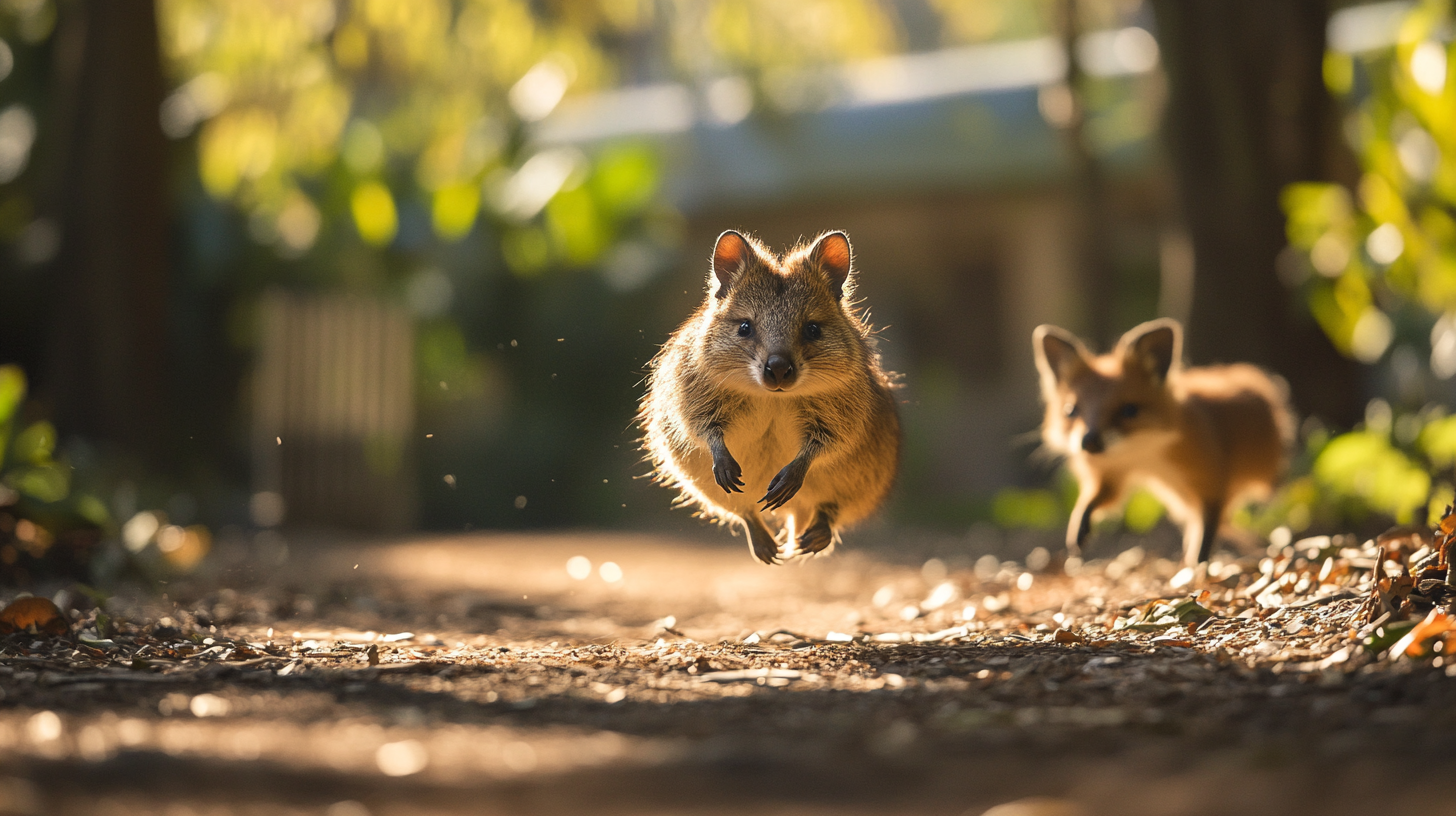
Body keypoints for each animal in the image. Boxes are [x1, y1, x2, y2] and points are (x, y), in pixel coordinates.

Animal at [1030, 319, 1292, 568]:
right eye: (1071, 410)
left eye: (1129, 410)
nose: (1089, 442)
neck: (1146, 458)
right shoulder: (1112, 476)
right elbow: (1091, 502)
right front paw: (1078, 532)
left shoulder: (1211, 483)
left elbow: (1206, 532)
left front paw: (1198, 564)